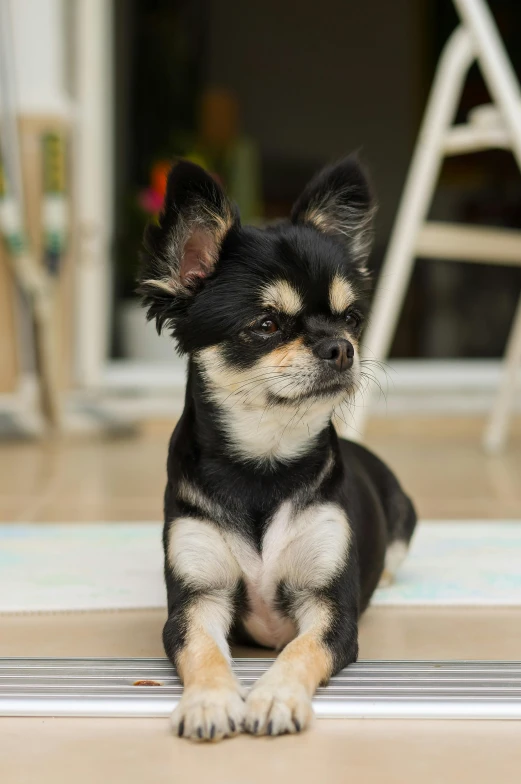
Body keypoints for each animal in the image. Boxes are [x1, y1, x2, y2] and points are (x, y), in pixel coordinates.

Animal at [138, 155, 414, 740]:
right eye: (266, 325)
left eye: (352, 319)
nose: (342, 347)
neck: (263, 465)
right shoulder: (197, 603)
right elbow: (202, 651)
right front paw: (209, 701)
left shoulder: (332, 612)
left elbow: (300, 651)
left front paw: (275, 696)